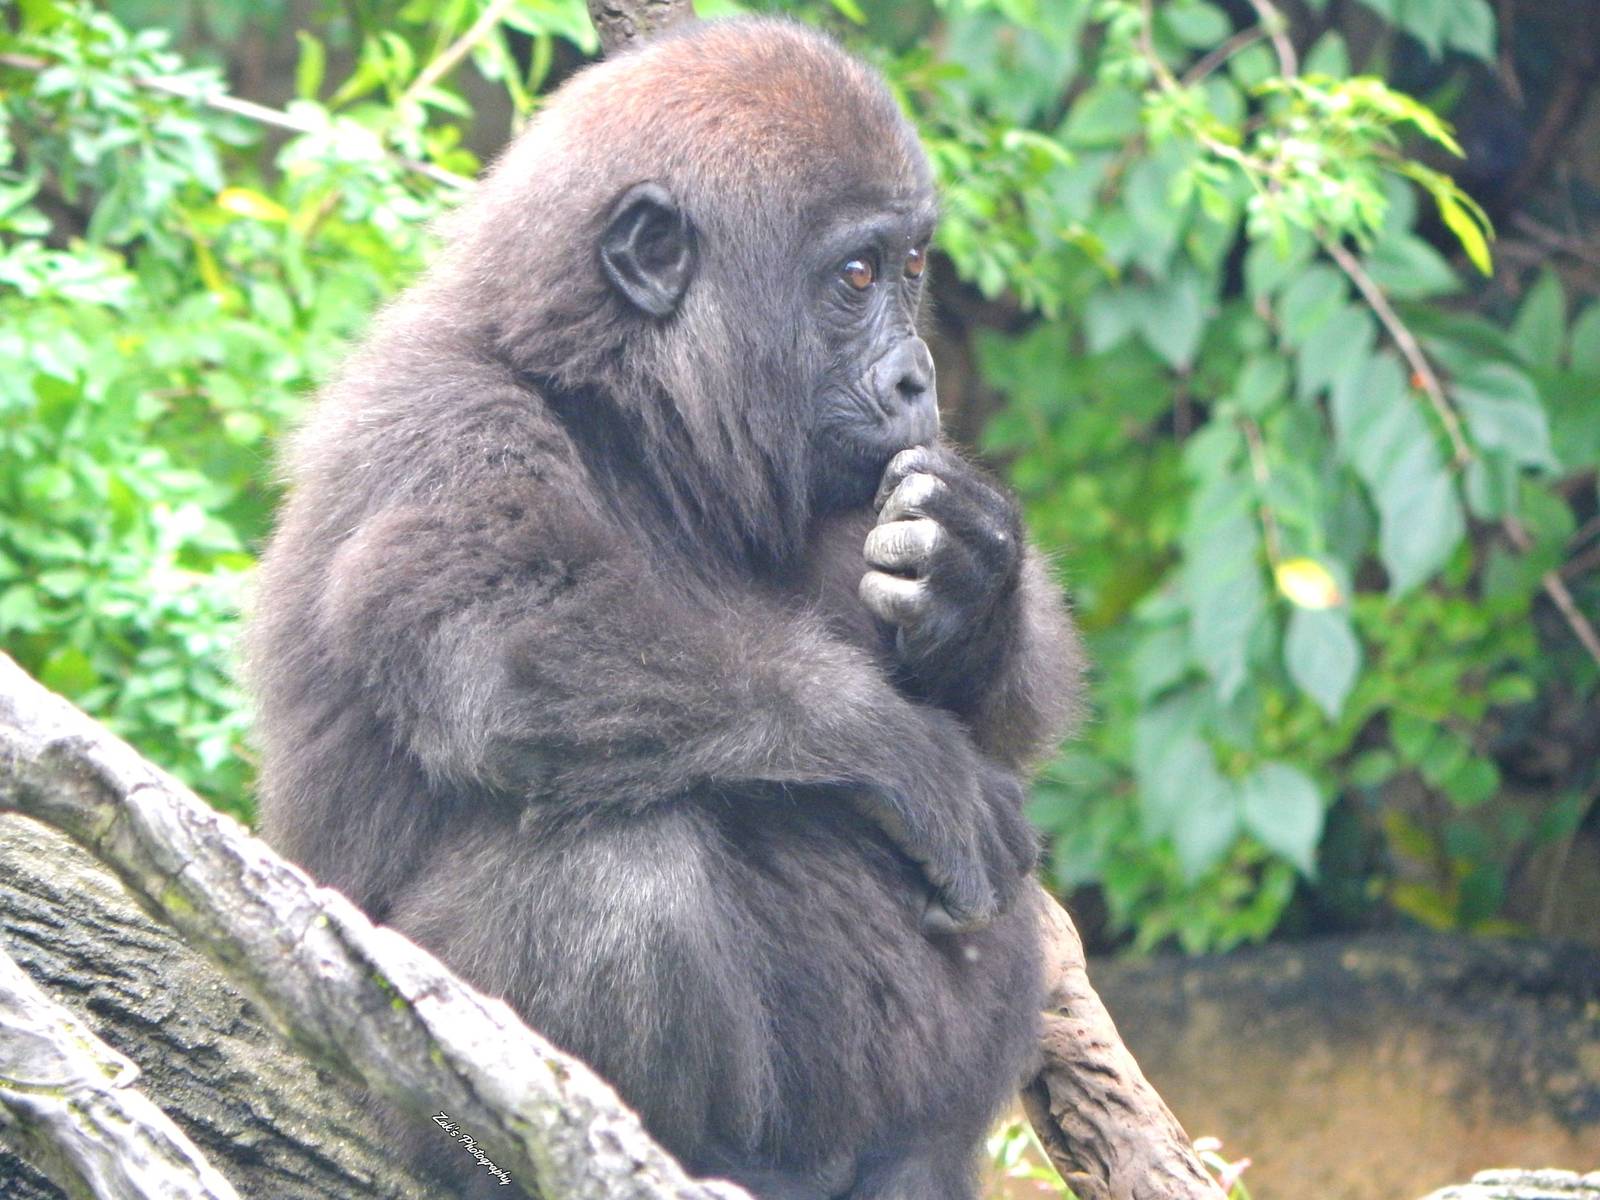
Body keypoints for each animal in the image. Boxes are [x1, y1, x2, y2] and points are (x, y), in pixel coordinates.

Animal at [246, 17, 1081, 1200]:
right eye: (856, 273)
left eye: (911, 268)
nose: (917, 380)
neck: (616, 397)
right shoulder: (440, 421)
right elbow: (514, 651)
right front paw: (904, 753)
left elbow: (1012, 710)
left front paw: (972, 577)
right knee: (619, 865)